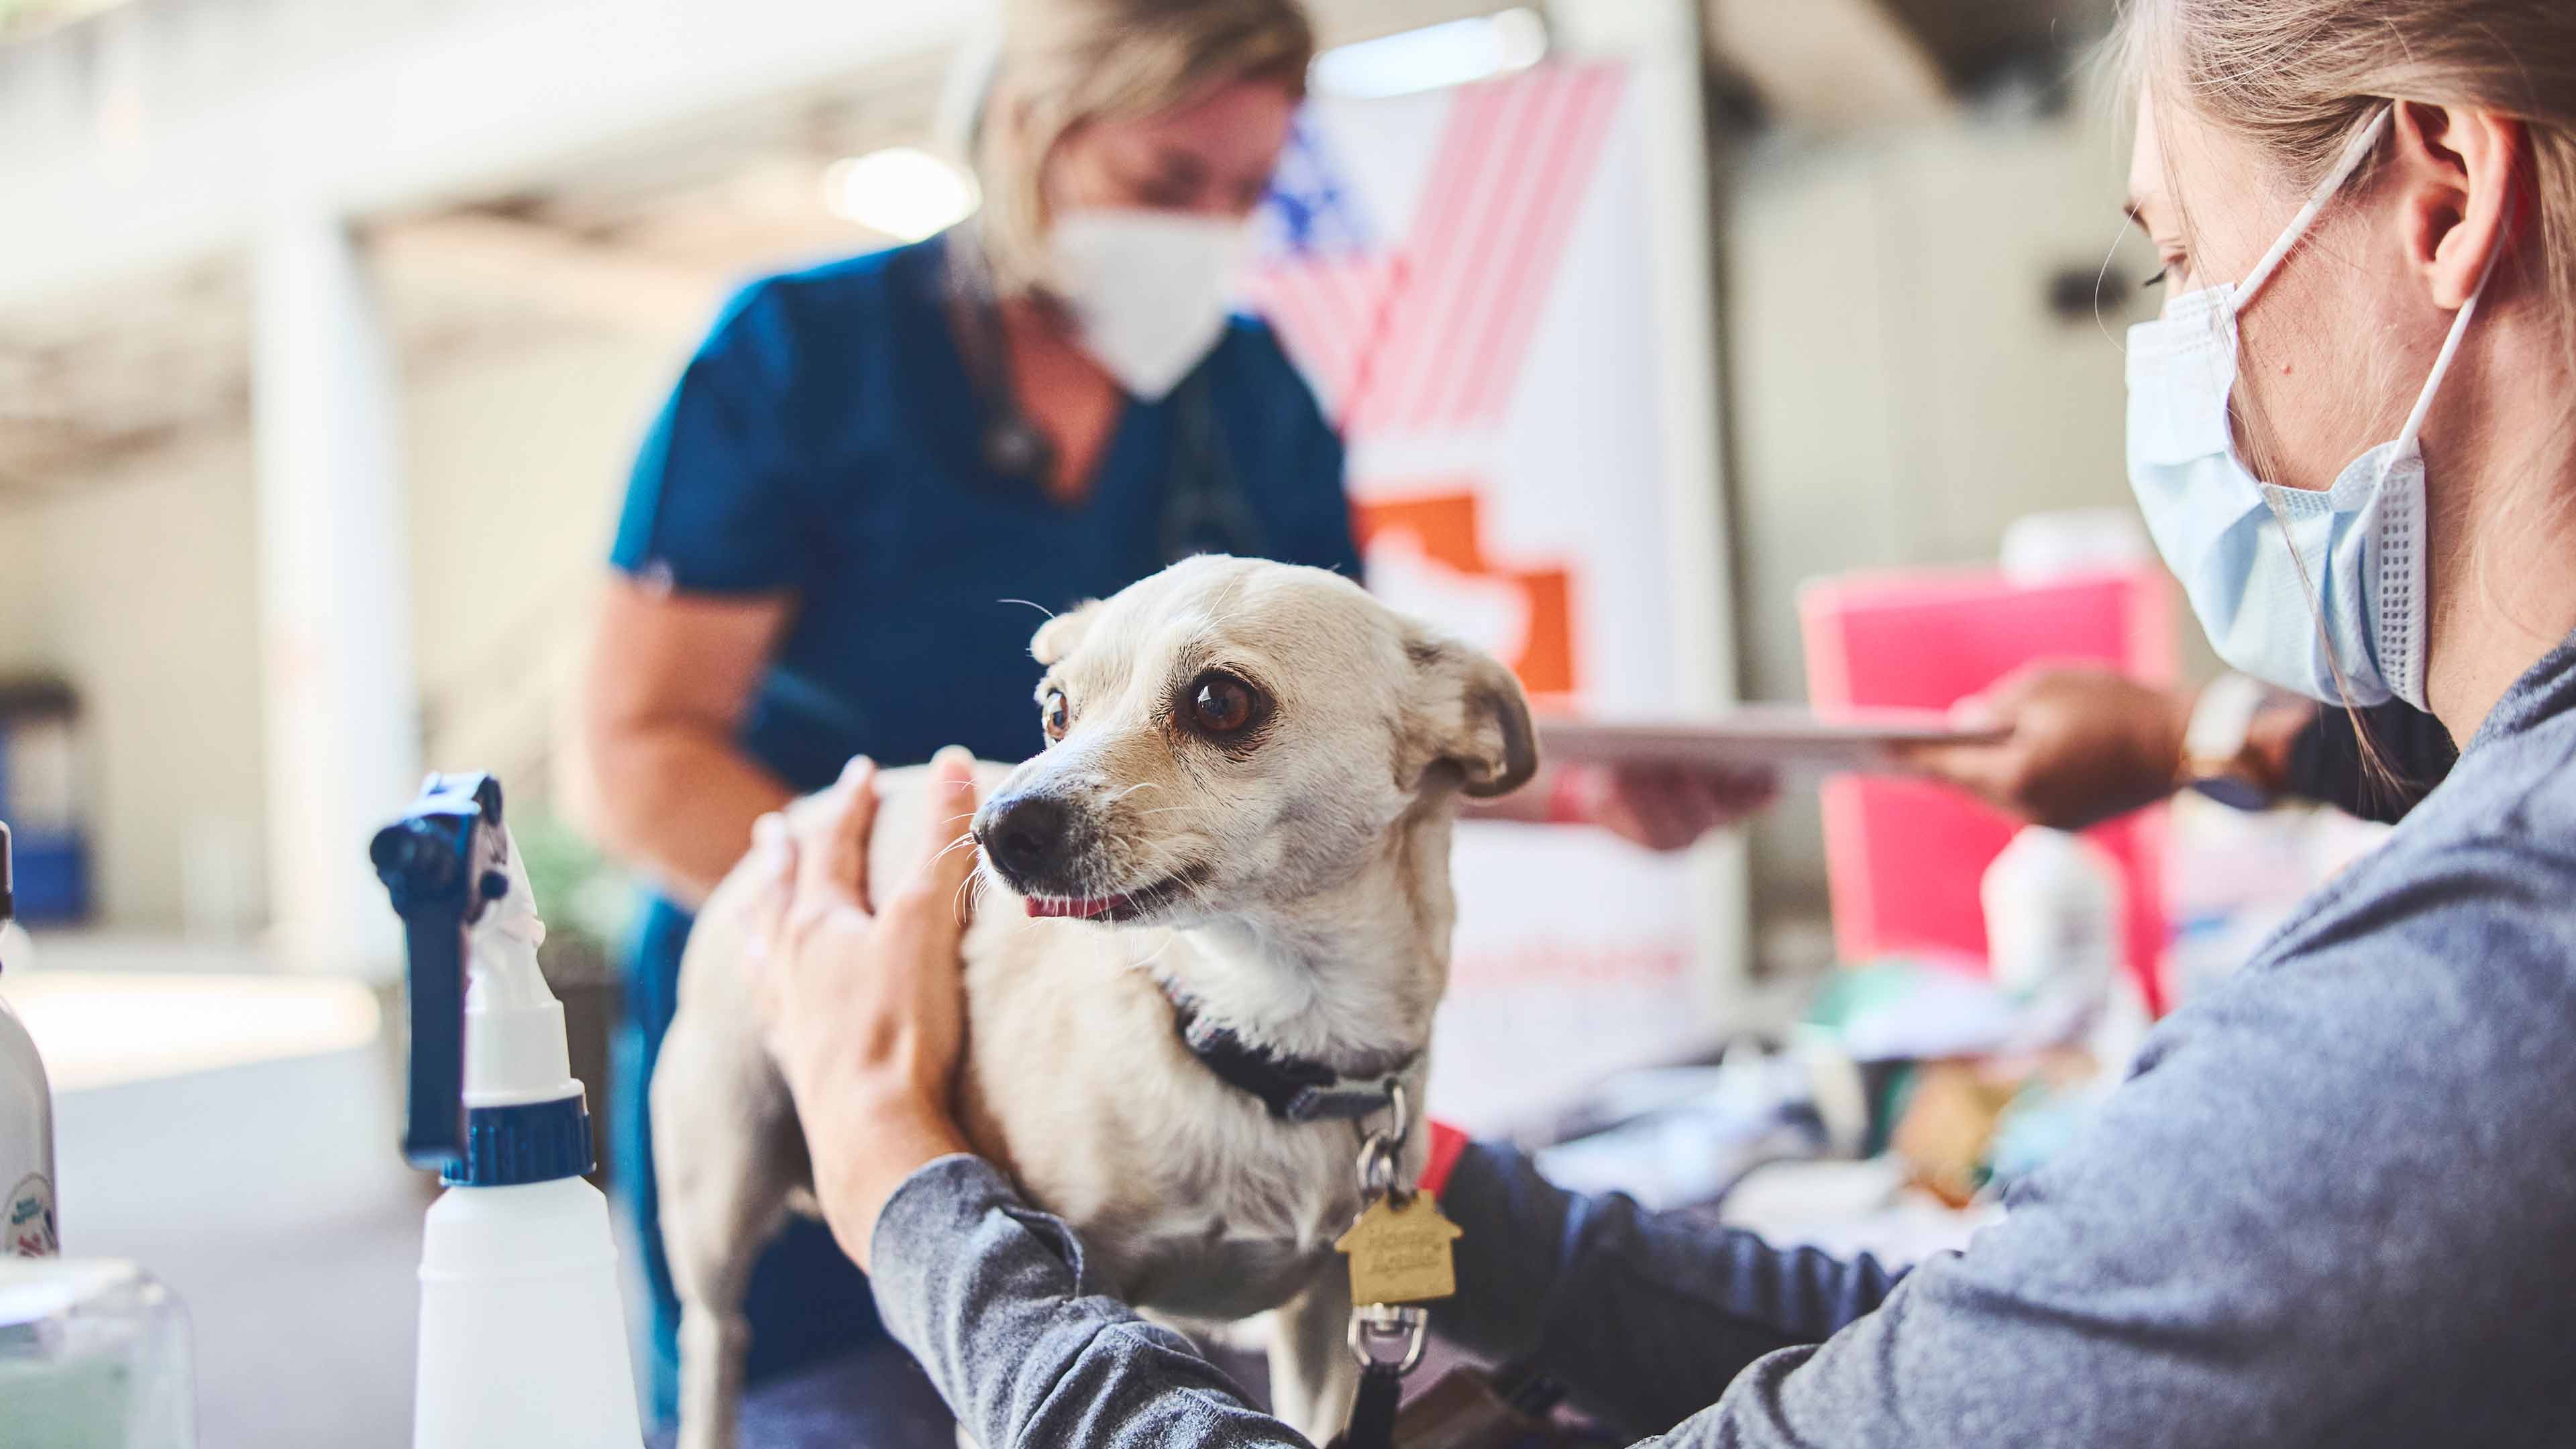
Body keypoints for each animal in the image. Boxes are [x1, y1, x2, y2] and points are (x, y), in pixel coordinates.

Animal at [654, 554, 1525, 1444]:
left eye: (1221, 702)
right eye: (1054, 712)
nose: (996, 827)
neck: (1261, 1024)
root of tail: (801, 812)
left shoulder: (1326, 1320)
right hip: (720, 1194)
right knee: (716, 1337)